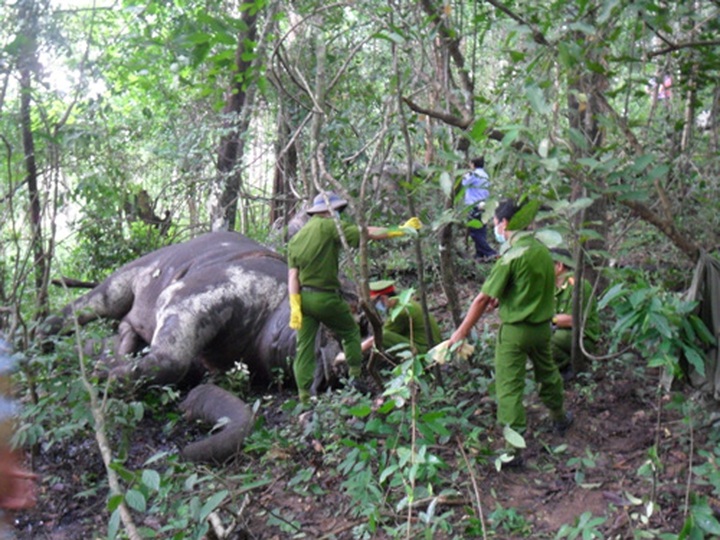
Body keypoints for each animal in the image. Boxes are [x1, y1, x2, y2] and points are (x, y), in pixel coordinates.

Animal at [42, 231, 354, 463]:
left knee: (118, 333)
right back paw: (38, 339)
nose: (331, 373)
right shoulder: (193, 293)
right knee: (89, 305)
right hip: (127, 277)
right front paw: (100, 381)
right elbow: (170, 360)